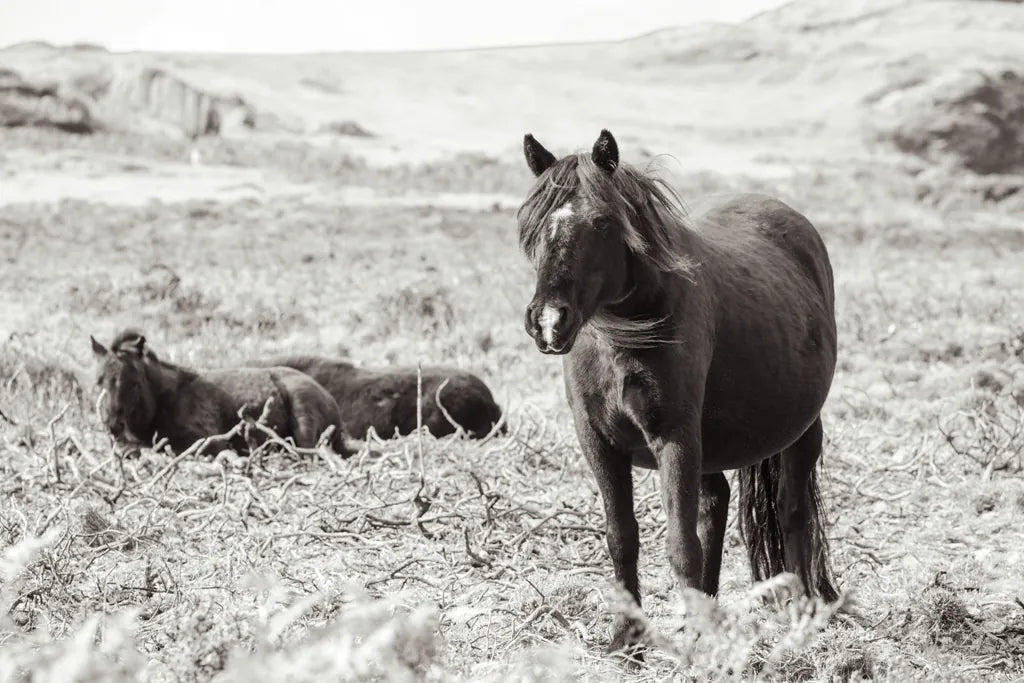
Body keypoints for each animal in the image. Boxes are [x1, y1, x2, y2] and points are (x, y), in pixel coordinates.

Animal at [91, 330, 352, 457]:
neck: (166, 399)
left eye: (134, 383)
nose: (113, 424)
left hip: (303, 418)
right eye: (99, 381)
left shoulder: (210, 442)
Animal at [517, 130, 839, 658]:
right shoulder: (598, 443)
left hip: (801, 432)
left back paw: (801, 612)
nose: (548, 321)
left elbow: (681, 544)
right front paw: (626, 640)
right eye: (533, 224)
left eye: (603, 222)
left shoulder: (675, 438)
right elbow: (622, 538)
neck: (623, 339)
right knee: (716, 502)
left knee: (792, 512)